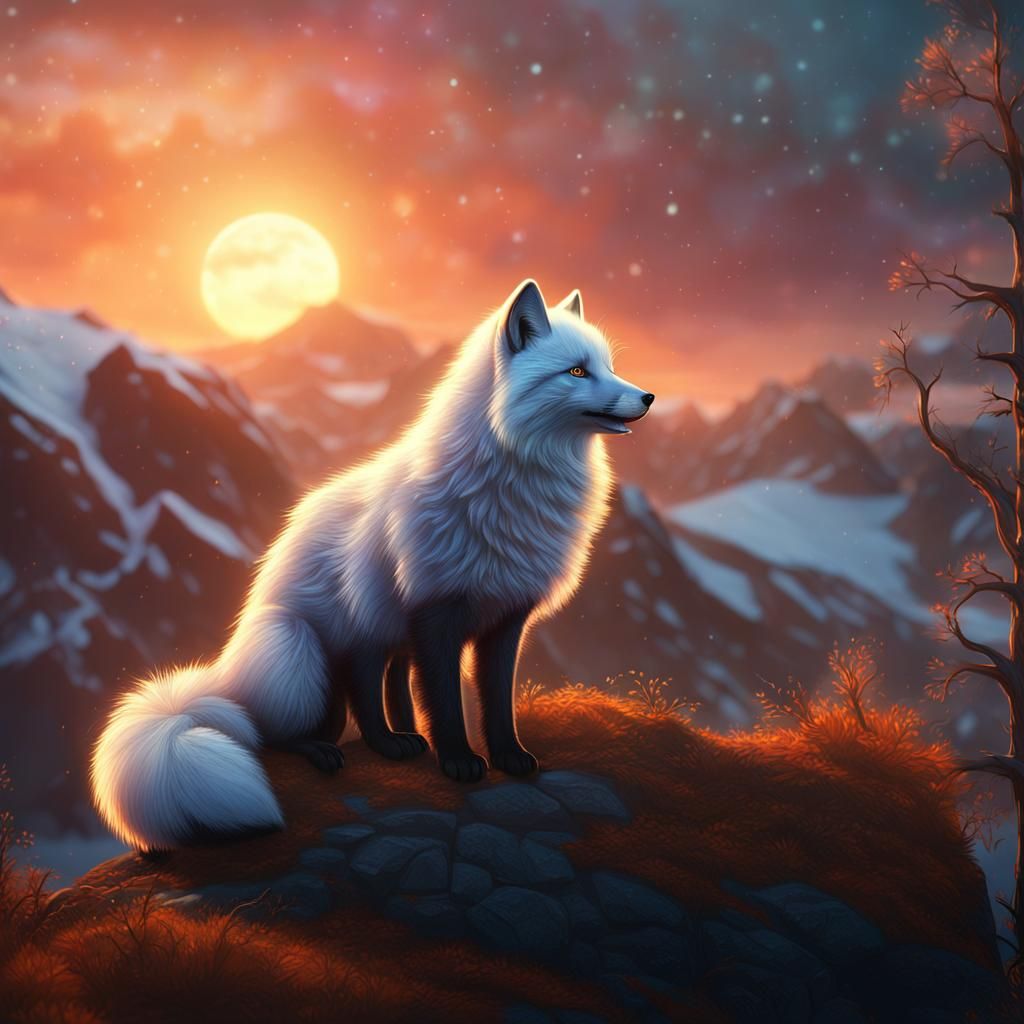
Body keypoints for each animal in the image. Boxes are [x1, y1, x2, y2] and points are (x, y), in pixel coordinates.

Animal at [91, 280, 654, 850]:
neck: (512, 487)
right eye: (577, 372)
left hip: (374, 639)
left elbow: (496, 699)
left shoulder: (504, 619)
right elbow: (444, 699)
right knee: (278, 729)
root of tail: (227, 670)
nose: (648, 397)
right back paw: (337, 748)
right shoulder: (435, 611)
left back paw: (399, 740)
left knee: (371, 692)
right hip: (309, 653)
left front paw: (509, 757)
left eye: (608, 366)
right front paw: (458, 761)